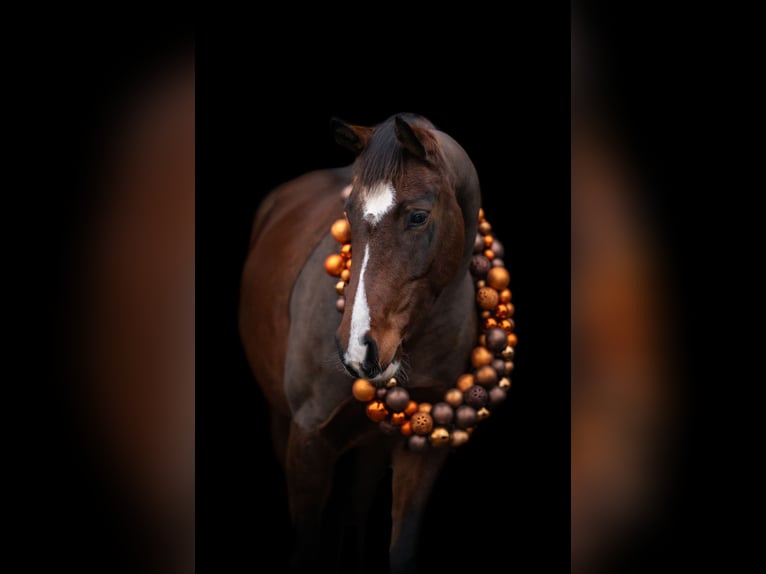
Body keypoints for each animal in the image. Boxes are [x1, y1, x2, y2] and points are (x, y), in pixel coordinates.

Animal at [239, 113, 482, 573]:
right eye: (348, 214)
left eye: (418, 216)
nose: (358, 351)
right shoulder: (308, 440)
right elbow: (306, 549)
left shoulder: (422, 449)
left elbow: (400, 549)